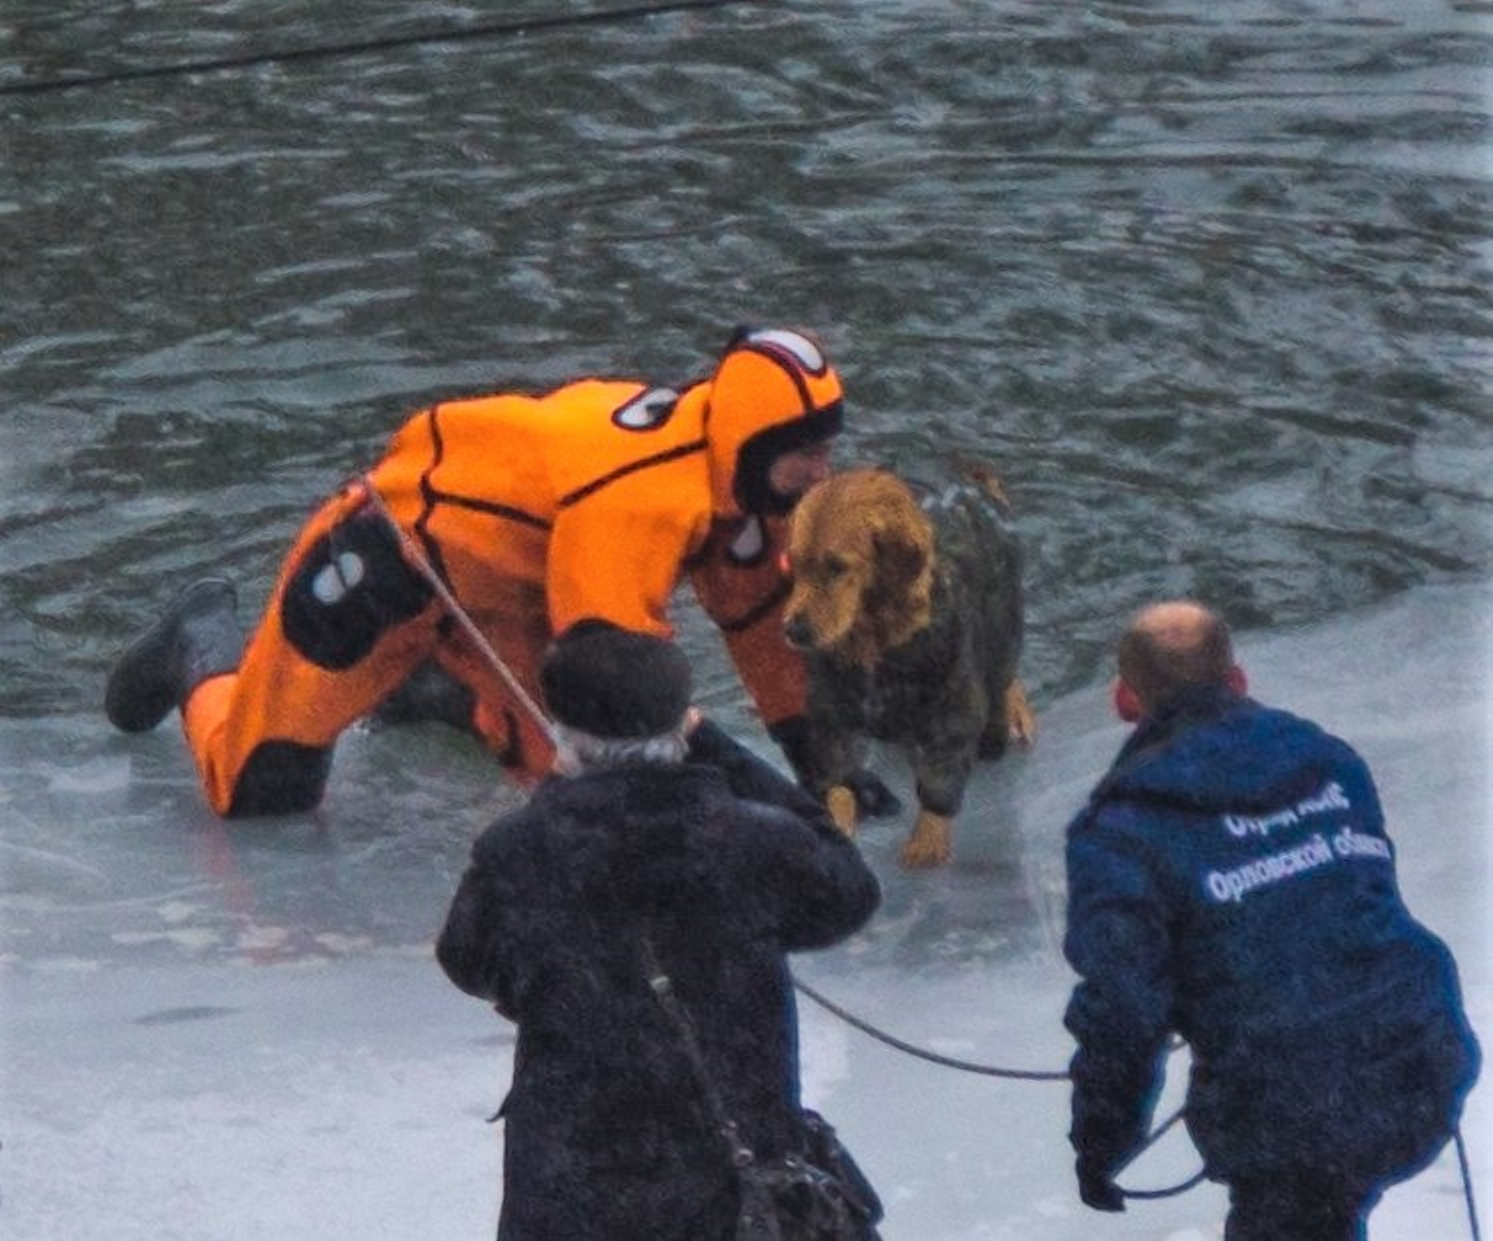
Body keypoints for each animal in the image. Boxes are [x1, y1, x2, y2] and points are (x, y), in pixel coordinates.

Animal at [782, 462, 1039, 866]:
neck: (877, 643)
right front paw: (839, 822)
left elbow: (941, 780)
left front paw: (926, 843)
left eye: (836, 567)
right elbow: (836, 775)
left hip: (1002, 632)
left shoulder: (955, 706)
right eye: (795, 563)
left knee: (1002, 685)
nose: (794, 629)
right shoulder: (829, 711)